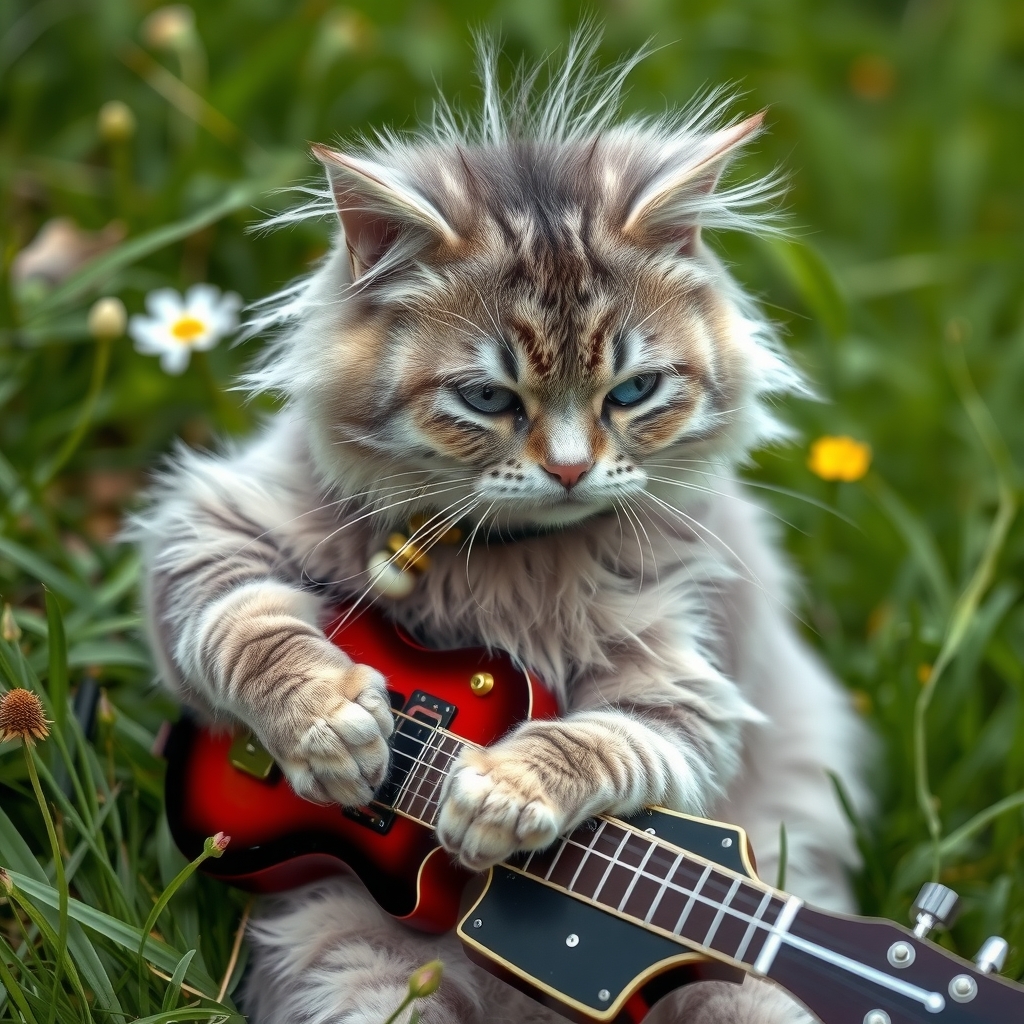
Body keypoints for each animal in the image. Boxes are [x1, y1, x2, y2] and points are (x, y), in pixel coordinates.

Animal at [136, 34, 868, 1024]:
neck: (502, 563)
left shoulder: (686, 689)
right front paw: (327, 724)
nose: (569, 468)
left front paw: (499, 790)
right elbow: (252, 631)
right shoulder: (211, 524)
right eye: (488, 398)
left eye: (633, 391)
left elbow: (603, 742)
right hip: (350, 965)